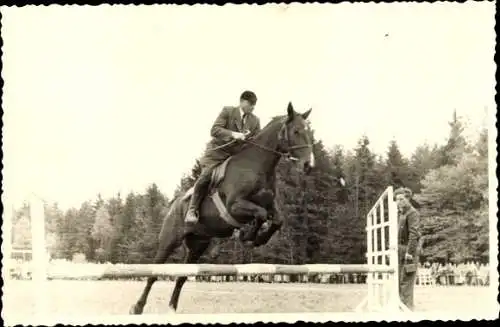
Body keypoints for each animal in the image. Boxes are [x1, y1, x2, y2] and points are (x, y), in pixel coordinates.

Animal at [129, 102, 316, 316]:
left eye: (309, 132)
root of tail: (173, 205)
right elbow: (259, 214)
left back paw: (172, 309)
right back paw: (137, 307)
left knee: (182, 276)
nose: (309, 165)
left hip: (198, 245)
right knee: (153, 273)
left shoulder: (270, 205)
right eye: (296, 131)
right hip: (169, 240)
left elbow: (277, 220)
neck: (257, 166)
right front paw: (247, 235)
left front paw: (257, 238)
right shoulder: (235, 206)